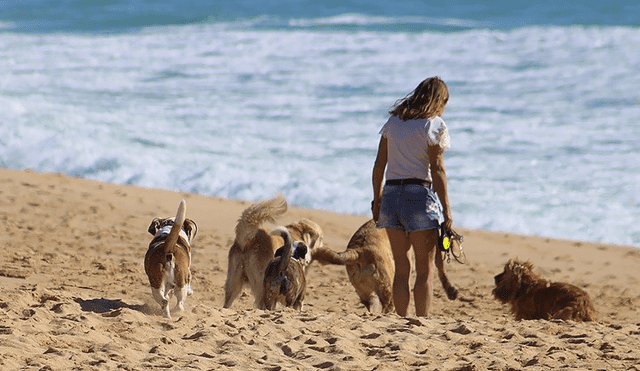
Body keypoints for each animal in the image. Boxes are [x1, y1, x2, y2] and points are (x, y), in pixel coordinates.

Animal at [312, 219, 458, 316]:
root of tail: (359, 250)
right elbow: (441, 268)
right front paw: (451, 290)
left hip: (367, 292)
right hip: (386, 285)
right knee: (388, 307)